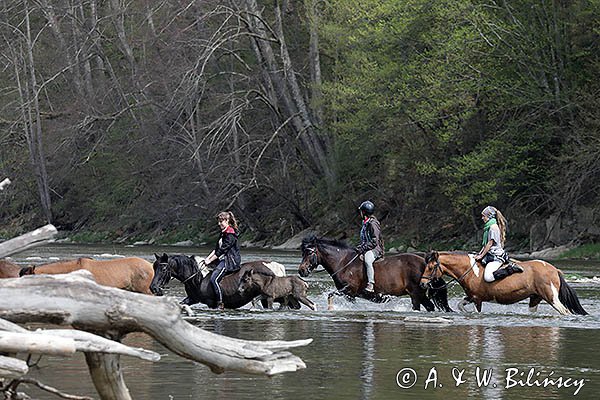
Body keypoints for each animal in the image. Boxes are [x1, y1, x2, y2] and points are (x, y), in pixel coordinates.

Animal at [150, 253, 300, 310]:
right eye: (154, 267)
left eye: (163, 269)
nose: (153, 288)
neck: (198, 278)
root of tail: (277, 266)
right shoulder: (193, 298)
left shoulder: (211, 303)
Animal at [296, 236, 450, 310]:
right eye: (302, 252)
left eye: (309, 252)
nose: (301, 270)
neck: (343, 262)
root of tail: (425, 262)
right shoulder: (350, 295)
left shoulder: (349, 290)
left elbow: (330, 295)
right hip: (420, 293)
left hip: (416, 293)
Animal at [420, 253, 588, 316]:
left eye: (431, 267)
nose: (422, 284)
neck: (470, 270)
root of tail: (554, 270)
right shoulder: (471, 297)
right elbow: (460, 305)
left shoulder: (477, 299)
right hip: (535, 298)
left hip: (551, 297)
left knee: (565, 311)